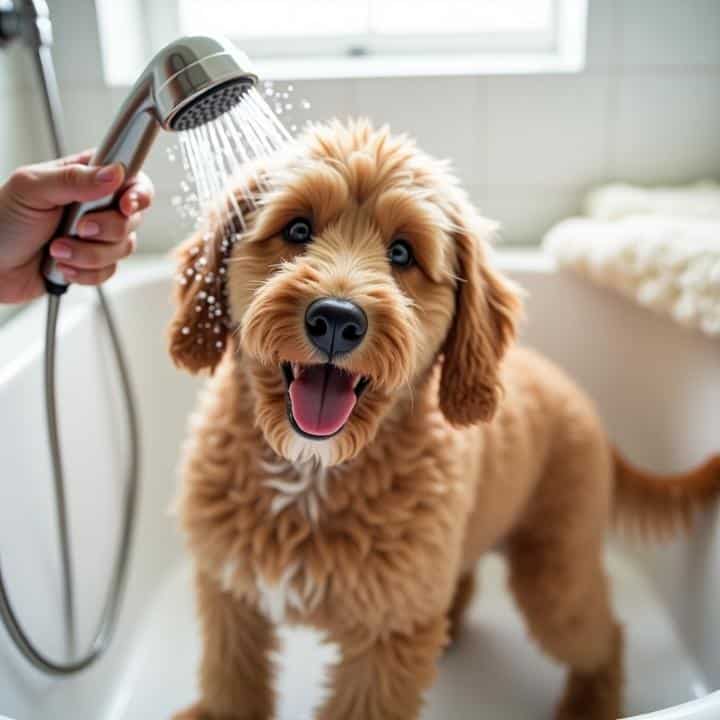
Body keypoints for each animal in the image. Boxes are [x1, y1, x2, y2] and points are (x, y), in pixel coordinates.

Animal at [170, 119, 720, 720]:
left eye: (402, 252)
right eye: (297, 228)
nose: (336, 319)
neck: (309, 476)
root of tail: (576, 393)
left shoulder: (387, 639)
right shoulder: (229, 592)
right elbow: (231, 677)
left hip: (556, 577)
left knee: (606, 637)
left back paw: (589, 704)